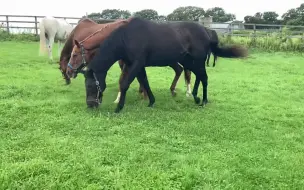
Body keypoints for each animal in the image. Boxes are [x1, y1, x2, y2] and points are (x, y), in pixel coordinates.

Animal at [66, 17, 247, 113]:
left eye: (91, 86)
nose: (91, 105)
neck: (126, 38)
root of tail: (206, 32)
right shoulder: (137, 65)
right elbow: (144, 82)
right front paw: (151, 101)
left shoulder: (136, 64)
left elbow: (124, 84)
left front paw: (119, 107)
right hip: (190, 62)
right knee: (198, 77)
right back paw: (196, 97)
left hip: (198, 61)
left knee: (204, 78)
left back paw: (202, 100)